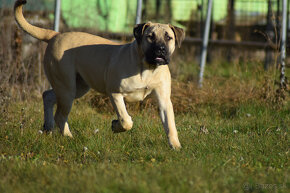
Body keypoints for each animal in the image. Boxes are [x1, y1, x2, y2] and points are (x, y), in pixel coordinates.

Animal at [14, 0, 186, 149]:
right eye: (150, 37)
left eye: (168, 37)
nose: (161, 49)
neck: (147, 69)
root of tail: (55, 35)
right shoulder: (115, 93)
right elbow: (126, 120)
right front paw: (116, 125)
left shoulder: (164, 100)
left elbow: (170, 125)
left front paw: (176, 146)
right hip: (67, 88)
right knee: (60, 116)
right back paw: (69, 137)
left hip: (77, 87)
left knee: (48, 96)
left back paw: (48, 127)